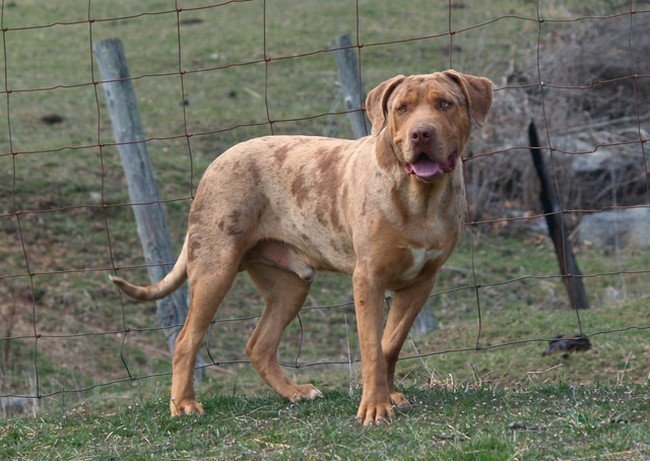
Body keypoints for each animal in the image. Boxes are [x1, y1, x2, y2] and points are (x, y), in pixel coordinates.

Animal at [112, 70, 492, 426]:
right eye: (402, 108)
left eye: (445, 104)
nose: (421, 134)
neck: (420, 198)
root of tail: (217, 161)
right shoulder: (367, 279)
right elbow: (371, 347)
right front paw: (374, 407)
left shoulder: (420, 283)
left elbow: (390, 344)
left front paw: (390, 395)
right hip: (214, 271)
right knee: (186, 340)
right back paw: (184, 404)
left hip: (289, 286)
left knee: (259, 345)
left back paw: (293, 392)